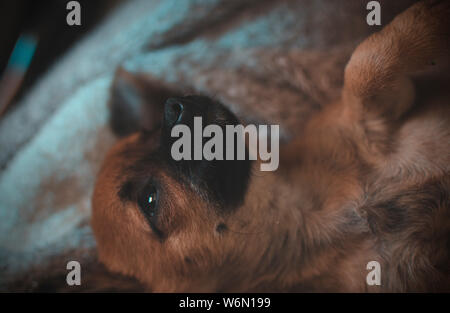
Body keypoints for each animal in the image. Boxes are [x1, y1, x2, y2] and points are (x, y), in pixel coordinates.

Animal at [91, 1, 450, 292]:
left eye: (151, 131)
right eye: (149, 200)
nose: (174, 108)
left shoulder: (378, 110)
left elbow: (365, 64)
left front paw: (426, 19)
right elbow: (360, 68)